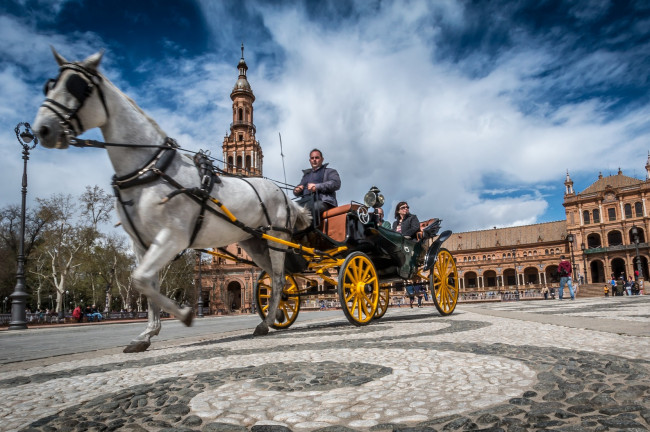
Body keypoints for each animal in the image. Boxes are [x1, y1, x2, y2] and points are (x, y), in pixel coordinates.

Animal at [33, 48, 312, 352]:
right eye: (49, 85)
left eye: (76, 86)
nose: (42, 129)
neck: (150, 168)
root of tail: (283, 196)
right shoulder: (144, 244)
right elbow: (146, 283)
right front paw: (148, 333)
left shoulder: (172, 236)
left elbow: (142, 280)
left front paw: (184, 314)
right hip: (256, 243)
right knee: (277, 279)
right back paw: (274, 317)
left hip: (276, 239)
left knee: (278, 278)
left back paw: (266, 322)